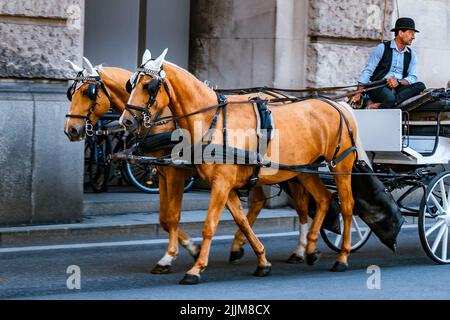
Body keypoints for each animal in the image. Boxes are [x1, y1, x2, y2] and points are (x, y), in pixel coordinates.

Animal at [62, 57, 310, 272]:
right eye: (70, 92)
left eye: (87, 91)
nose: (71, 130)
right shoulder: (162, 171)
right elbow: (164, 218)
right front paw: (192, 249)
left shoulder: (175, 171)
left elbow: (172, 215)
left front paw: (172, 256)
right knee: (265, 202)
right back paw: (244, 247)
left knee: (301, 203)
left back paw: (300, 250)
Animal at [120, 48, 366, 284]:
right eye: (130, 83)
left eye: (148, 85)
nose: (126, 121)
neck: (211, 120)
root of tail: (337, 105)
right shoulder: (219, 184)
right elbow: (240, 220)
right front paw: (262, 261)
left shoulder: (213, 181)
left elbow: (206, 224)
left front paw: (195, 268)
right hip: (304, 169)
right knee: (322, 199)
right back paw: (310, 249)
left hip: (340, 166)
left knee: (346, 206)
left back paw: (342, 256)